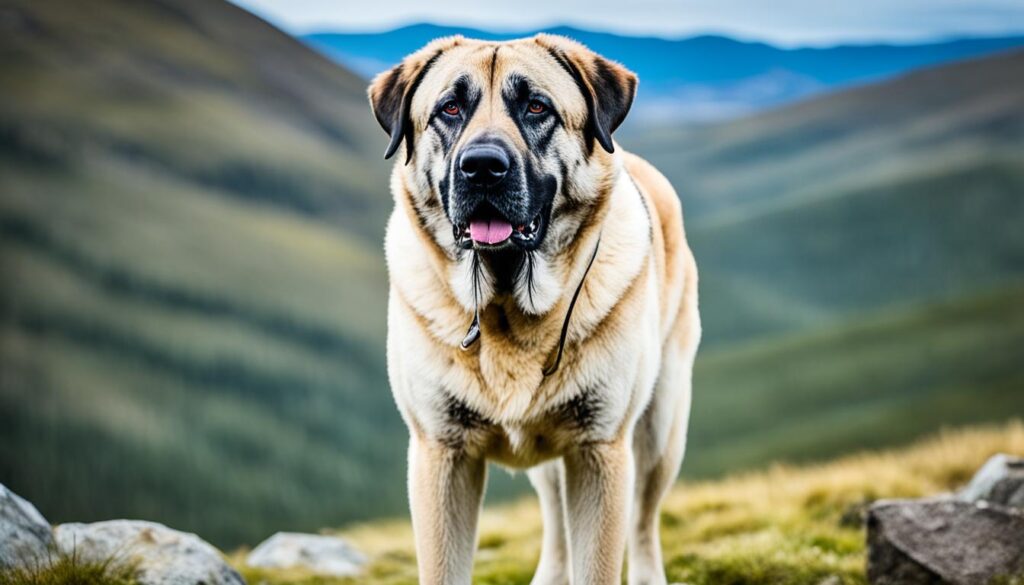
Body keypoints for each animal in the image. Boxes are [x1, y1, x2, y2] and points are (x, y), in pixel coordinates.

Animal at [366, 33, 696, 585]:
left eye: (536, 107)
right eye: (449, 108)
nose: (482, 167)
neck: (505, 305)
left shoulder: (600, 451)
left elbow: (601, 562)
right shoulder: (441, 454)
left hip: (660, 428)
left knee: (644, 521)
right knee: (557, 520)